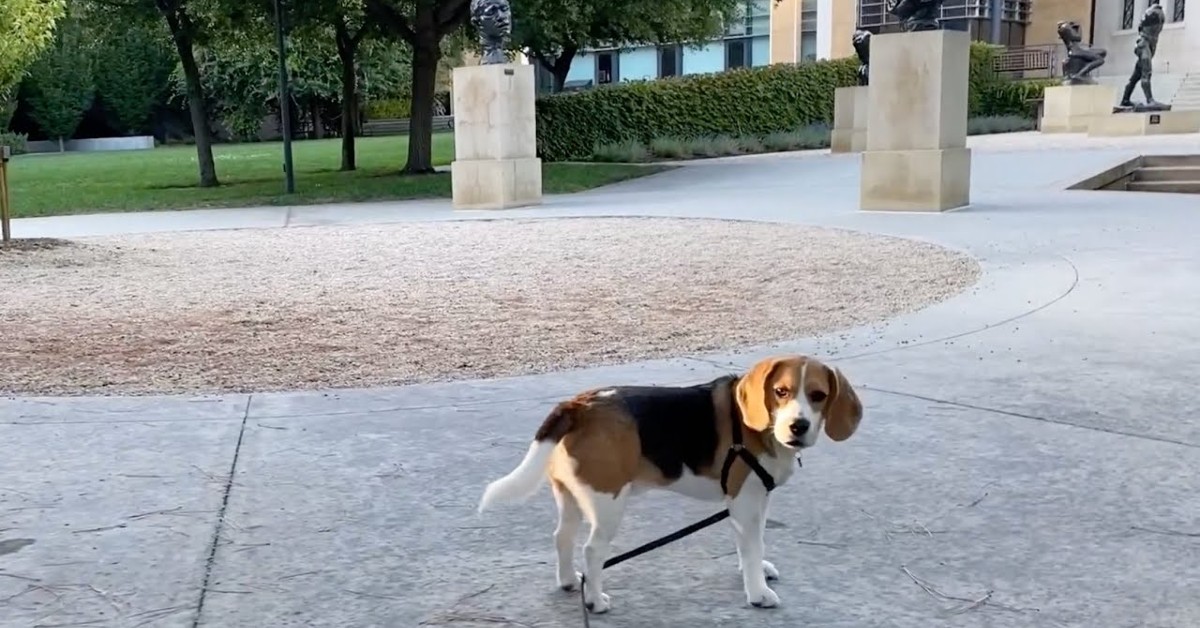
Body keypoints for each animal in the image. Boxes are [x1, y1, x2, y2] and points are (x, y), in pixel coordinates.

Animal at [477, 357, 864, 614]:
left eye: (818, 395)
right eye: (781, 392)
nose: (798, 426)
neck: (762, 428)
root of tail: (579, 405)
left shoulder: (753, 501)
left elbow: (753, 544)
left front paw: (756, 572)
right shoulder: (744, 502)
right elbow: (752, 548)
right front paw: (757, 592)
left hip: (571, 496)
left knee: (562, 538)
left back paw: (570, 581)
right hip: (608, 503)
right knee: (592, 551)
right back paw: (595, 600)